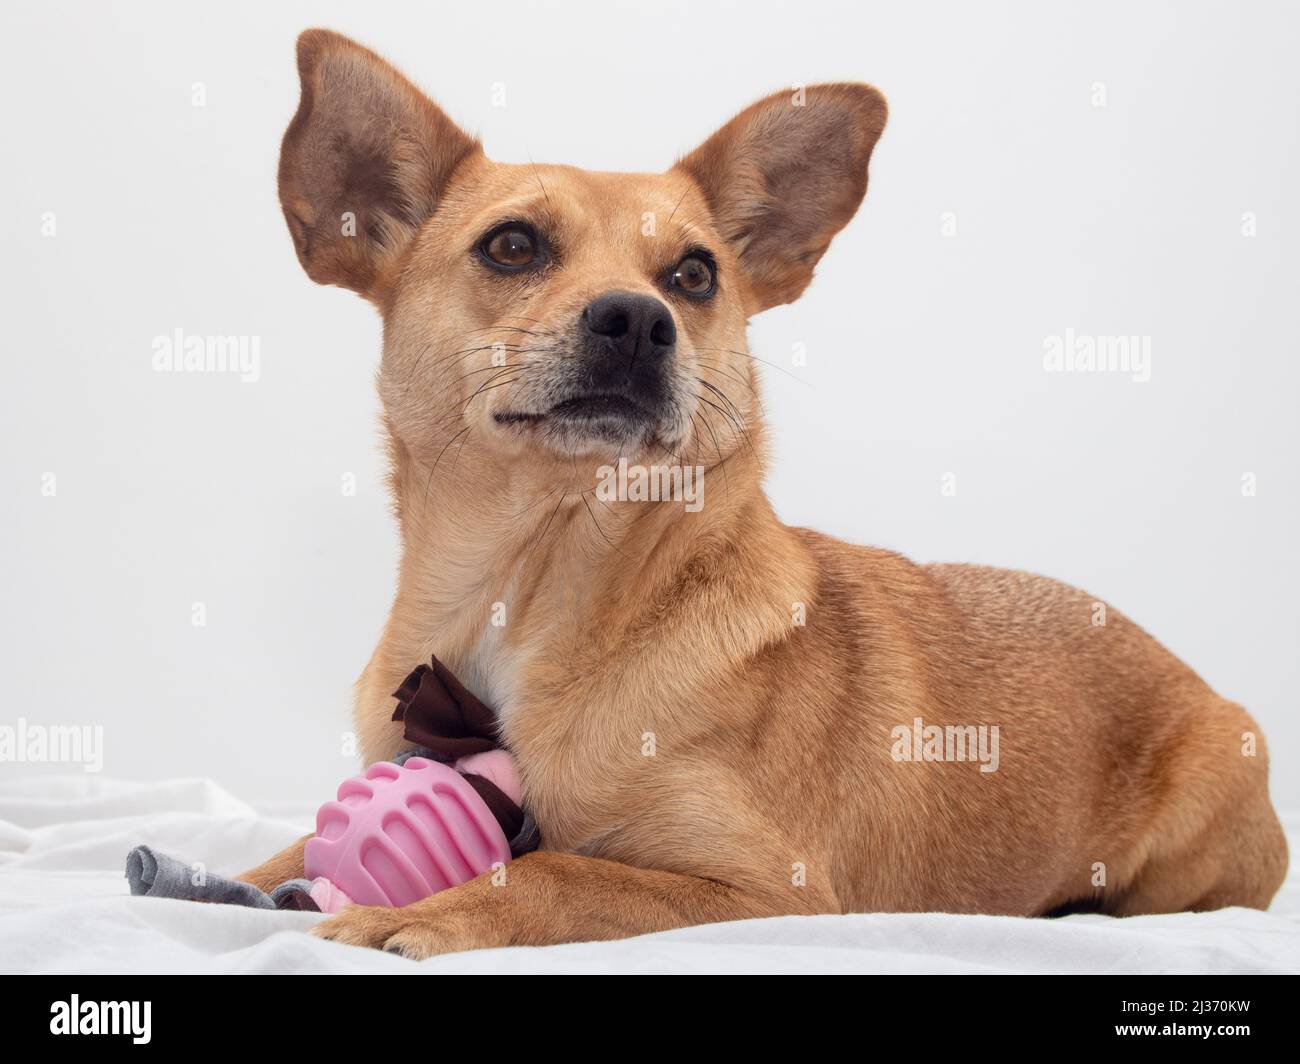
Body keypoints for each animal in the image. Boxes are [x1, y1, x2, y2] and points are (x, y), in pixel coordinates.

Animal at [236, 28, 1289, 957]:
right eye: (511, 247)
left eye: (695, 272)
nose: (638, 320)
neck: (531, 592)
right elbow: (283, 856)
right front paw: (245, 882)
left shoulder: (768, 890)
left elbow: (560, 870)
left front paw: (426, 910)